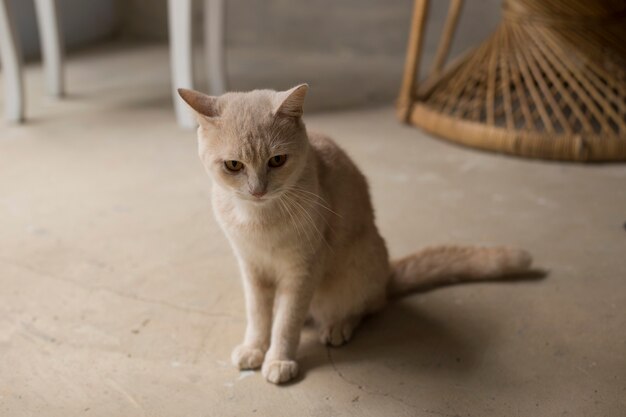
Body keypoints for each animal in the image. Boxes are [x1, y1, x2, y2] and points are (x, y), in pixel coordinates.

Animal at [177, 83, 532, 384]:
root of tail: (387, 275)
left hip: (354, 269)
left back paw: (338, 326)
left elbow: (287, 323)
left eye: (277, 160)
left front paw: (278, 359)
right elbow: (259, 315)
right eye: (233, 166)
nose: (257, 190)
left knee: (366, 307)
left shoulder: (302, 270)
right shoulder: (251, 267)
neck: (257, 219)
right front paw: (254, 347)